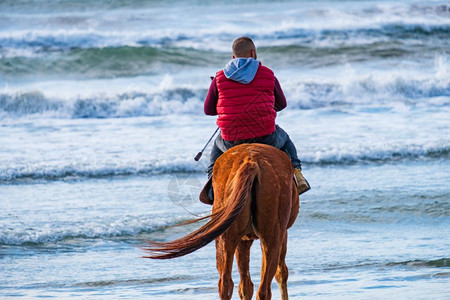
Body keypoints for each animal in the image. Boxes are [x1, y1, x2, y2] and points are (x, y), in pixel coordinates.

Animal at [144, 144, 298, 300]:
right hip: (271, 235)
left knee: (226, 283)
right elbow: (280, 273)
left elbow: (245, 286)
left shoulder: (243, 239)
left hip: (229, 236)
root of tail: (251, 162)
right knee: (264, 287)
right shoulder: (279, 234)